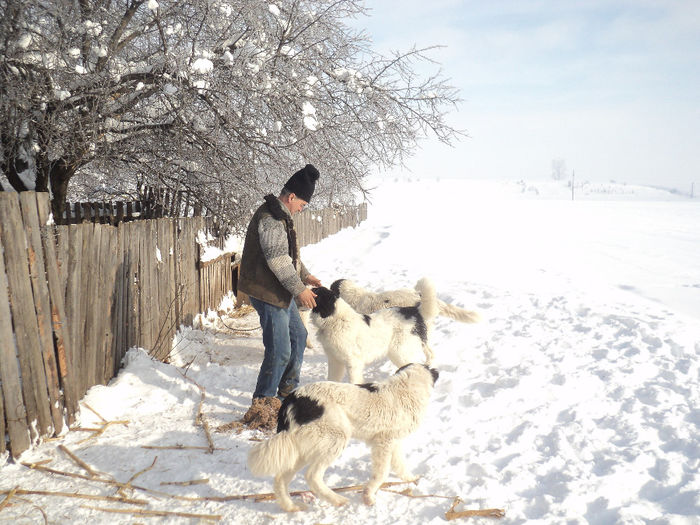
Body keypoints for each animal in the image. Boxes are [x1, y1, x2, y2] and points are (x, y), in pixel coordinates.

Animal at [246, 362, 438, 510]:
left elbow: (400, 465)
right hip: (336, 438)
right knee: (312, 476)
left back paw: (291, 507)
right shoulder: (383, 443)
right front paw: (368, 496)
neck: (405, 389)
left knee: (280, 479)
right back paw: (338, 500)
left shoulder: (393, 442)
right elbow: (382, 473)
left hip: (302, 448)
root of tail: (292, 399)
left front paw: (411, 479)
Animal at [310, 276, 438, 382]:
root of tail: (415, 311)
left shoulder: (353, 362)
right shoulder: (335, 360)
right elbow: (332, 379)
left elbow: (354, 381)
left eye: (316, 293)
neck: (336, 319)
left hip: (399, 352)